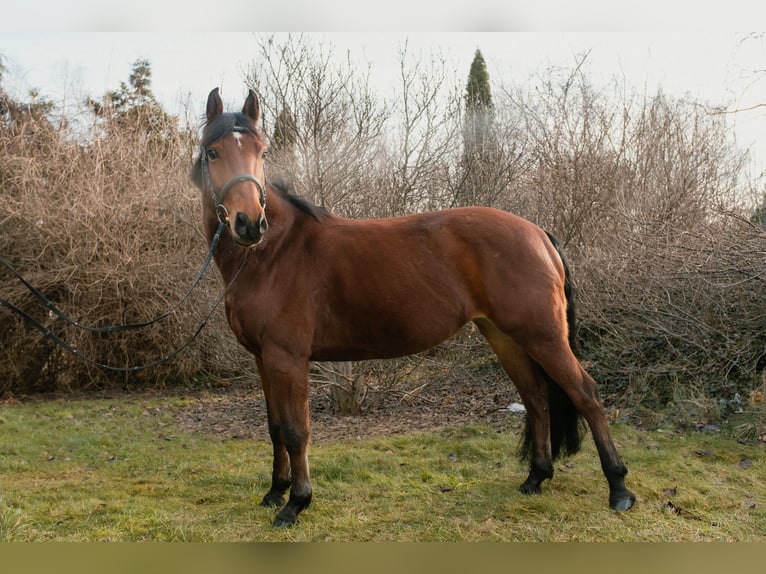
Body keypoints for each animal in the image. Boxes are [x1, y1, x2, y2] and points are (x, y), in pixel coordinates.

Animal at [190, 88, 636, 528]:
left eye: (261, 152)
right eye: (212, 152)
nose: (250, 223)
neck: (273, 253)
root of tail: (538, 233)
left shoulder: (288, 358)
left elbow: (297, 430)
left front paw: (295, 504)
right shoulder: (263, 359)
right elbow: (275, 428)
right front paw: (274, 493)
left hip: (543, 336)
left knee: (586, 394)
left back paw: (619, 489)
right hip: (505, 336)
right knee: (536, 397)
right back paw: (535, 479)